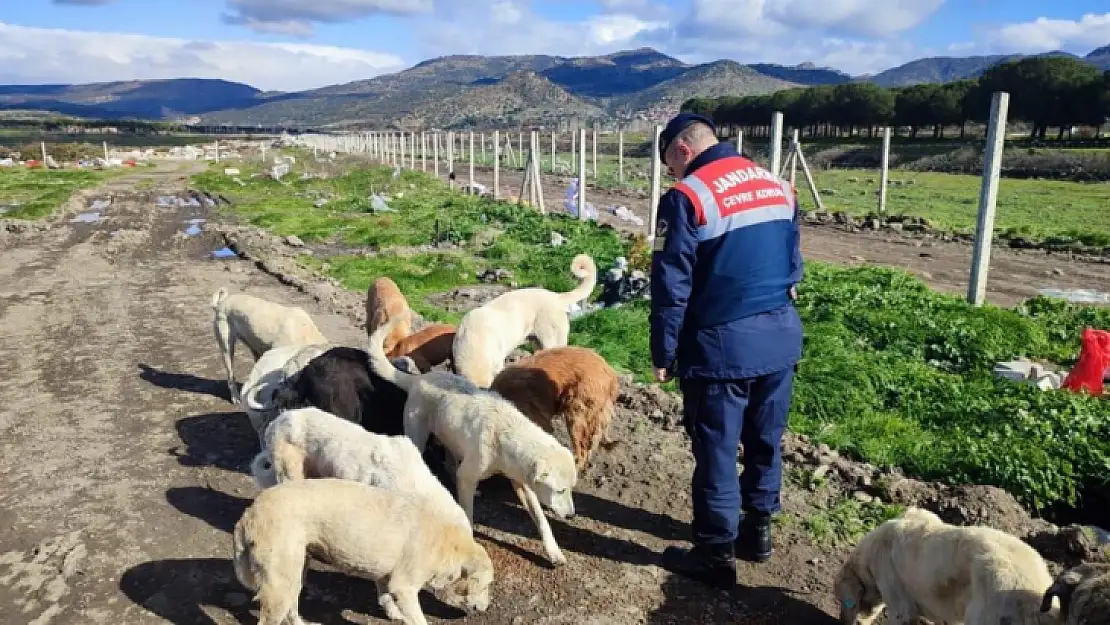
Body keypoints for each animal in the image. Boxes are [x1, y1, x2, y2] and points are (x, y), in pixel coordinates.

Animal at [234, 479, 495, 625]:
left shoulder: (387, 577)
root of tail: (249, 513)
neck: (444, 542)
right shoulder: (405, 586)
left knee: (292, 608)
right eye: (485, 586)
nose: (485, 609)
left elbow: (385, 596)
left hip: (295, 573)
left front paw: (394, 613)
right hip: (280, 585)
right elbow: (418, 618)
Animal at [368, 317, 577, 568]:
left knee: (451, 460)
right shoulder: (469, 477)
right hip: (418, 437)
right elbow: (467, 513)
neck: (504, 434)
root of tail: (421, 378)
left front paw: (554, 552)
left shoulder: (523, 483)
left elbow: (542, 520)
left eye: (571, 489)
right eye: (560, 490)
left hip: (450, 434)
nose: (571, 516)